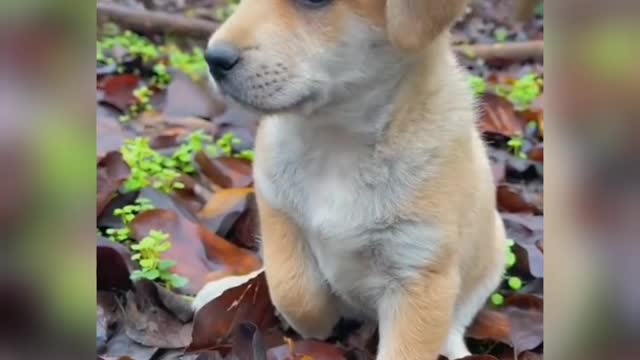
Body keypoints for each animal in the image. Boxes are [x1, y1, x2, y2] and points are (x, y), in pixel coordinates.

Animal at [202, 1, 508, 358]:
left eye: (314, 2)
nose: (213, 59)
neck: (337, 144)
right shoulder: (277, 208)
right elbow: (293, 288)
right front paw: (317, 323)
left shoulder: (419, 276)